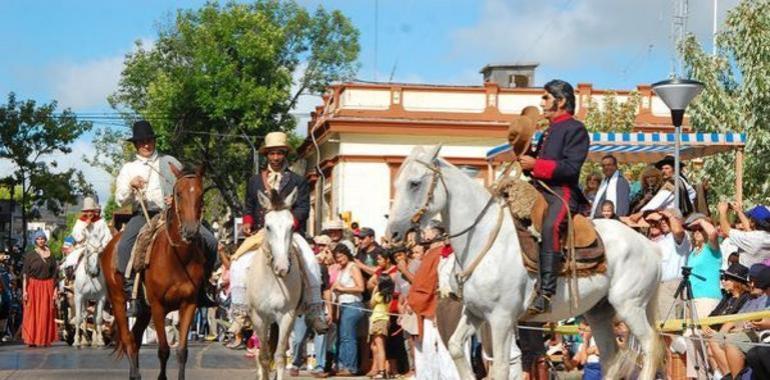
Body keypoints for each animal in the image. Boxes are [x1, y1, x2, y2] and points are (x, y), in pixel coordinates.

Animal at [100, 166, 206, 380]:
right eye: (178, 194)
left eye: (201, 194)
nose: (190, 230)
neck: (177, 258)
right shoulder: (158, 306)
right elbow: (163, 350)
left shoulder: (189, 304)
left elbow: (182, 352)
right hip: (118, 301)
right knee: (127, 338)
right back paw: (135, 374)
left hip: (144, 311)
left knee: (135, 338)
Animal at [246, 188, 324, 380]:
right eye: (268, 226)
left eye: (292, 227)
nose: (282, 267)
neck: (274, 280)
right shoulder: (259, 317)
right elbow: (263, 356)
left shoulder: (287, 316)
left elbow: (280, 356)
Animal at [388, 146, 664, 380]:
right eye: (397, 183)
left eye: (414, 183)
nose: (393, 233)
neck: (484, 239)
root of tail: (649, 246)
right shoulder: (474, 312)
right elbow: (456, 347)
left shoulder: (501, 318)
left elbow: (500, 368)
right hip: (599, 312)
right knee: (612, 357)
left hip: (629, 305)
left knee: (651, 345)